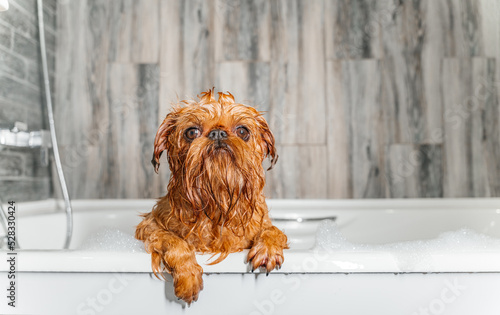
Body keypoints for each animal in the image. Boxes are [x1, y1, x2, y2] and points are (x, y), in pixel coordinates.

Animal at [135, 89, 290, 304]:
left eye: (243, 131)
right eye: (191, 132)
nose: (218, 133)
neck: (217, 202)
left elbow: (274, 230)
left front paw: (267, 248)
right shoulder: (149, 226)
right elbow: (174, 240)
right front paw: (188, 274)